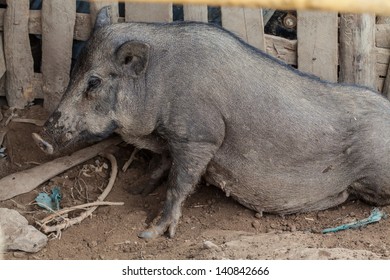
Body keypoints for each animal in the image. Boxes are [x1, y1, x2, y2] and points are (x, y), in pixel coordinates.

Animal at [32, 6, 390, 238]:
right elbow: (160, 165)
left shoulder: (200, 136)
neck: (160, 80)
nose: (40, 138)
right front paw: (135, 189)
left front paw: (152, 234)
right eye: (74, 69)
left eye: (94, 81)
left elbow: (179, 183)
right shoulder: (171, 138)